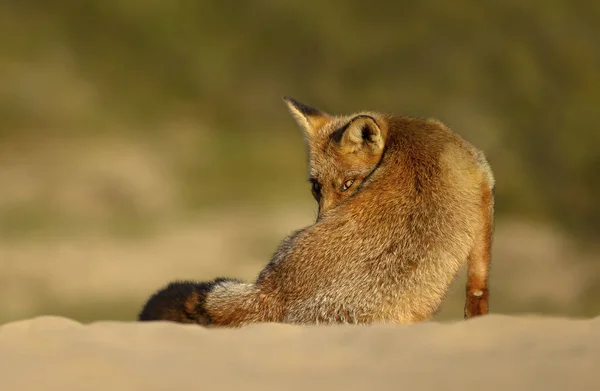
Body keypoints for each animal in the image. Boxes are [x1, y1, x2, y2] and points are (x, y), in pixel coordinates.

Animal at [138, 98, 494, 328]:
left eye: (349, 184)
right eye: (316, 187)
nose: (323, 221)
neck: (404, 132)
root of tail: (273, 294)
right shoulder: (484, 186)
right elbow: (479, 284)